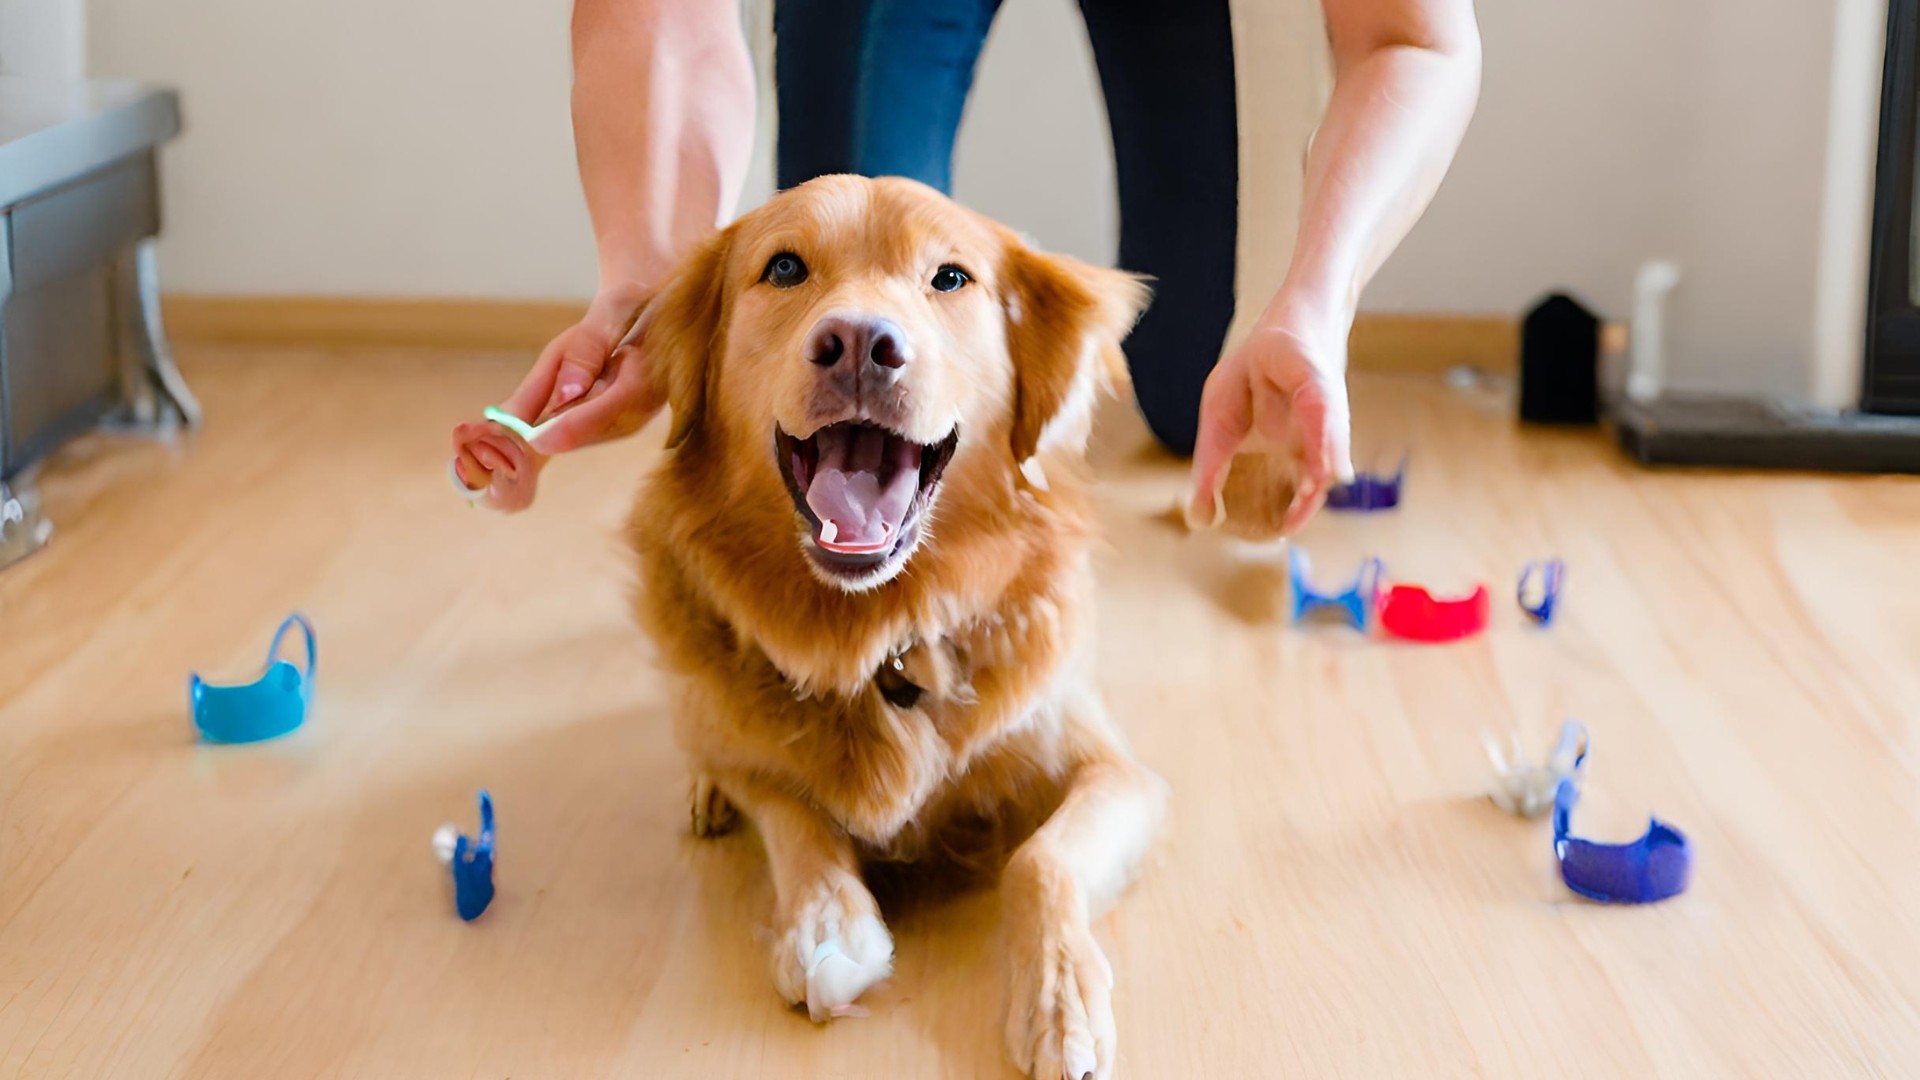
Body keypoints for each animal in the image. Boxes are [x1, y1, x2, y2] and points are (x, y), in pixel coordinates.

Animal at [629, 176, 1159, 1076]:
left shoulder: (1118, 771)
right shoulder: (761, 766)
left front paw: (1057, 1001)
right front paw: (829, 927)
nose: (857, 343)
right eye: (784, 267)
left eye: (949, 278)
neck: (881, 632)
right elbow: (794, 816)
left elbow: (1040, 860)